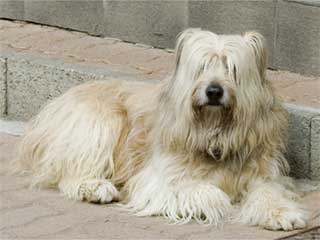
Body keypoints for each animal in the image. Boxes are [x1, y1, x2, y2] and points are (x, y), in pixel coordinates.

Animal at [16, 28, 308, 231]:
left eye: (231, 68)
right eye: (201, 67)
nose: (214, 91)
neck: (214, 134)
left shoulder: (264, 174)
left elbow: (268, 192)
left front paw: (282, 213)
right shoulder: (160, 180)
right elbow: (201, 191)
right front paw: (221, 202)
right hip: (98, 122)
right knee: (70, 173)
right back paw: (96, 187)